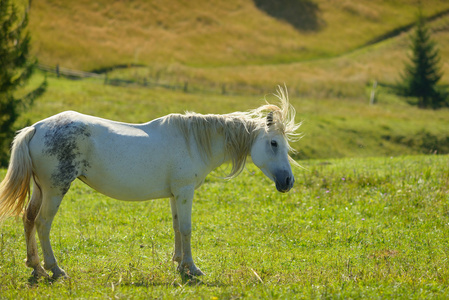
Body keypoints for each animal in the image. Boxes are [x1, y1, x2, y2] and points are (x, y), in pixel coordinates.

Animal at [0, 85, 300, 280]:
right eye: (274, 143)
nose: (288, 181)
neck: (193, 141)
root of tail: (36, 128)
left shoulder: (175, 195)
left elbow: (177, 227)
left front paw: (179, 265)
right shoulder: (184, 192)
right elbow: (187, 229)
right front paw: (193, 268)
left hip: (41, 189)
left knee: (28, 219)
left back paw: (36, 267)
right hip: (55, 190)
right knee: (42, 224)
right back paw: (55, 269)